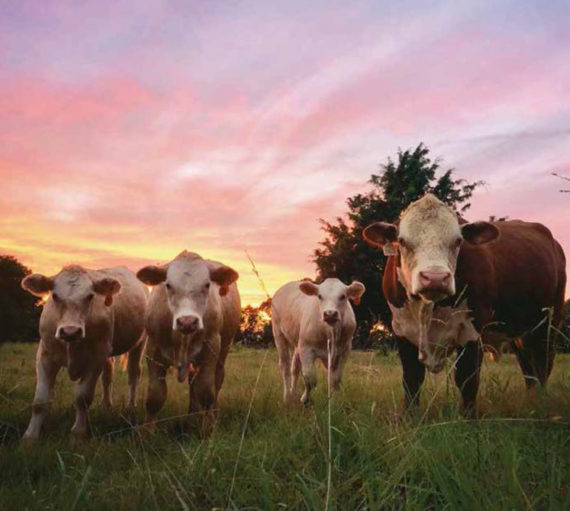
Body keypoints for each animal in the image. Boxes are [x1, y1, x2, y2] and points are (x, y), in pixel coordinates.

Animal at [21, 264, 148, 440]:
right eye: (55, 296)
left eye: (90, 296)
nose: (70, 331)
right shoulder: (45, 355)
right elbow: (40, 400)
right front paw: (31, 435)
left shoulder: (96, 358)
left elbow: (83, 397)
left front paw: (79, 432)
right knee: (107, 377)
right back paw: (106, 405)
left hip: (138, 344)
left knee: (133, 374)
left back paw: (130, 406)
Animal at [137, 250, 240, 438]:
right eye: (168, 285)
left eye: (207, 284)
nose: (187, 322)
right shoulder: (153, 350)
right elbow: (155, 397)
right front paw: (146, 434)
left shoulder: (210, 349)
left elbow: (206, 393)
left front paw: (207, 431)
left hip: (222, 353)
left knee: (215, 385)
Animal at [270, 278, 364, 406]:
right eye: (320, 296)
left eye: (343, 296)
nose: (330, 313)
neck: (330, 331)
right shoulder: (306, 349)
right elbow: (311, 378)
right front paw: (305, 399)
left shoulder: (344, 350)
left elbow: (335, 379)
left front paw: (333, 400)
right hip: (279, 333)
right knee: (285, 366)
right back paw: (287, 397)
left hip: (298, 343)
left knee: (295, 367)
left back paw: (293, 393)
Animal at [362, 194, 564, 418]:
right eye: (402, 241)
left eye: (458, 241)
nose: (435, 278)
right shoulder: (402, 330)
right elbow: (412, 379)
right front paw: (410, 418)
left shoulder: (472, 332)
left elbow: (467, 380)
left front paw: (468, 419)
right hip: (521, 333)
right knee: (529, 369)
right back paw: (532, 401)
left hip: (548, 324)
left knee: (543, 364)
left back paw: (541, 403)